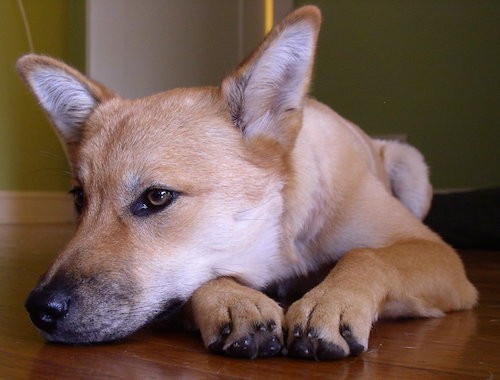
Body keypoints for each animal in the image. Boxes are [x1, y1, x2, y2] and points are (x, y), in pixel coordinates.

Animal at [18, 5, 476, 360]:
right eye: (79, 199)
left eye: (157, 197)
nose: (39, 309)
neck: (281, 242)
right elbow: (205, 280)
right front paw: (232, 300)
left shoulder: (438, 255)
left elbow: (366, 256)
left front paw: (331, 300)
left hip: (409, 165)